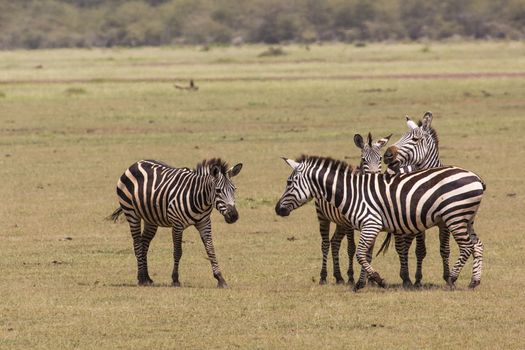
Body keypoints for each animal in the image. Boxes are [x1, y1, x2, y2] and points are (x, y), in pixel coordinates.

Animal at [111, 159, 243, 288]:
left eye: (234, 189)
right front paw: (175, 279)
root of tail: (136, 163)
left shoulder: (204, 223)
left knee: (144, 243)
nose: (234, 216)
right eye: (218, 190)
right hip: (131, 213)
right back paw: (142, 278)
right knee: (137, 243)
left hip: (151, 218)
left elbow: (210, 249)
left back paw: (146, 277)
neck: (199, 199)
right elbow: (177, 252)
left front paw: (220, 278)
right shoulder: (177, 225)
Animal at [276, 155, 486, 290]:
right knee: (478, 245)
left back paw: (452, 278)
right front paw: (362, 282)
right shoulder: (368, 227)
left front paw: (377, 280)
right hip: (467, 218)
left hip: (455, 215)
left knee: (467, 247)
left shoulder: (371, 224)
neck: (351, 193)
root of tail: (476, 177)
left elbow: (360, 254)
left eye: (289, 182)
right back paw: (474, 281)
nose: (277, 209)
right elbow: (366, 255)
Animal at [314, 133, 390, 286]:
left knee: (335, 242)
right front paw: (352, 277)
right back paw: (323, 277)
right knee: (325, 244)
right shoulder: (349, 224)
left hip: (340, 222)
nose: (374, 176)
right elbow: (351, 248)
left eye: (380, 158)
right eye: (363, 159)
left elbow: (368, 251)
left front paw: (370, 279)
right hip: (323, 216)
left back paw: (338, 277)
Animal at [380, 110, 450, 284]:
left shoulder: (445, 221)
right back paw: (406, 277)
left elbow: (444, 249)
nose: (388, 155)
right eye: (401, 136)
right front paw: (417, 279)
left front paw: (448, 277)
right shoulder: (418, 222)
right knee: (402, 246)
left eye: (415, 139)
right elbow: (420, 250)